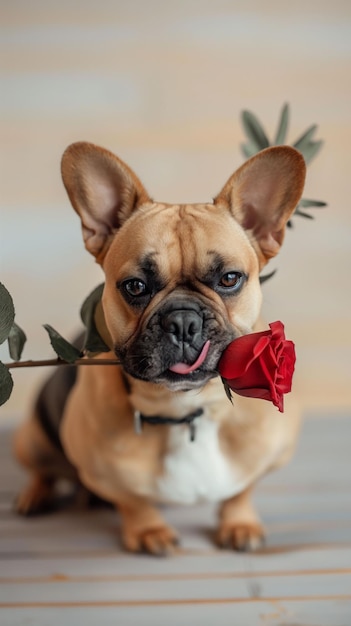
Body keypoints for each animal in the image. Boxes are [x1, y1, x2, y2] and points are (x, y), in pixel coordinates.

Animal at [13, 141, 306, 552]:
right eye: (135, 286)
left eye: (230, 278)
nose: (182, 321)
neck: (186, 412)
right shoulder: (103, 472)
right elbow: (132, 500)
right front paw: (148, 530)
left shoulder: (270, 456)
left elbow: (242, 490)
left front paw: (239, 523)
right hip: (34, 439)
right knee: (43, 469)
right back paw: (34, 496)